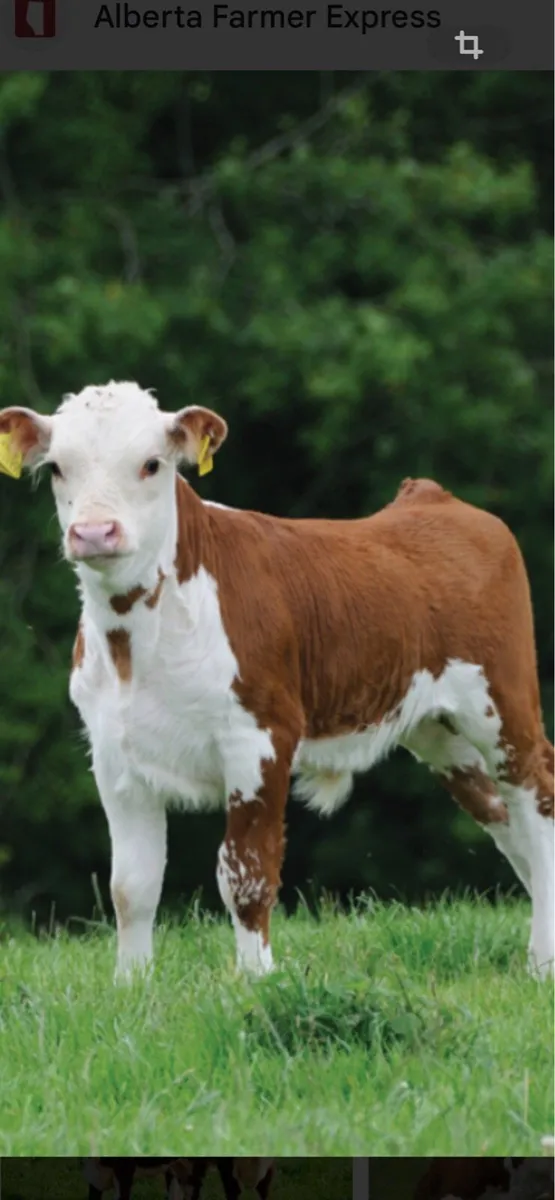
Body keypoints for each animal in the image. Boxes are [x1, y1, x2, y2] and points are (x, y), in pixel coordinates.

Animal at [0, 382, 552, 980]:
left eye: (151, 464)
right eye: (58, 467)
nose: (95, 532)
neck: (137, 644)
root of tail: (430, 497)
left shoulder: (261, 737)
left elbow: (246, 873)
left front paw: (255, 980)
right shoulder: (114, 755)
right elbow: (132, 887)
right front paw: (132, 985)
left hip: (504, 705)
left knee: (537, 802)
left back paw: (542, 960)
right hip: (440, 732)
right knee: (503, 816)